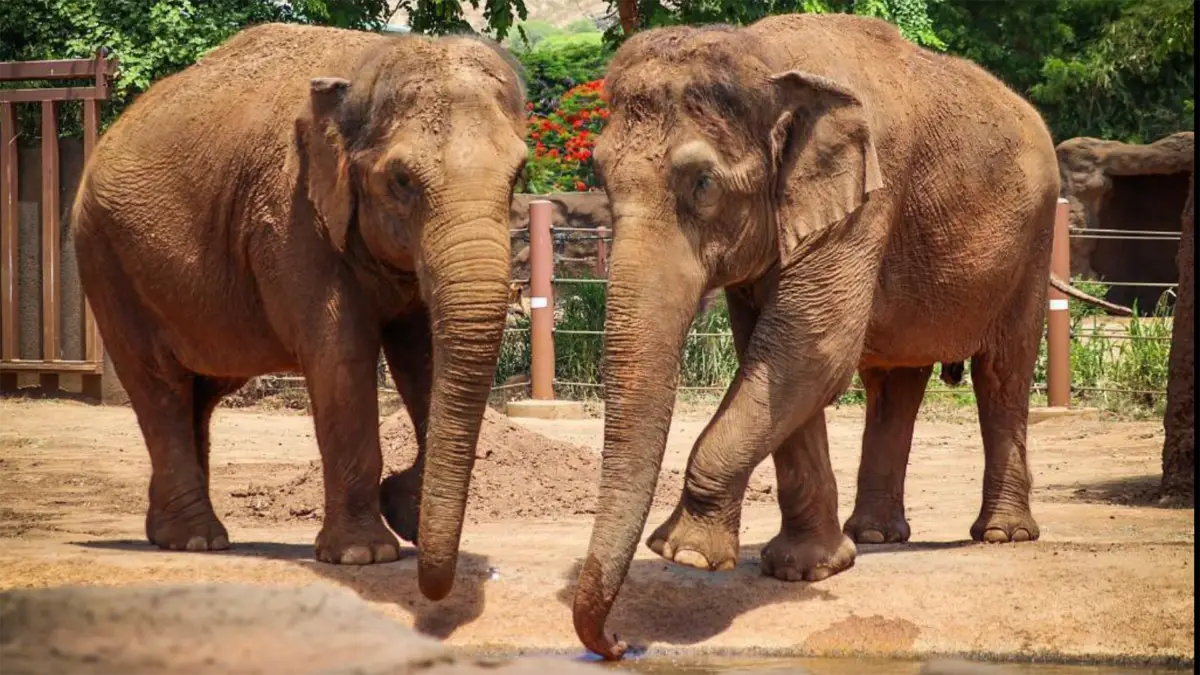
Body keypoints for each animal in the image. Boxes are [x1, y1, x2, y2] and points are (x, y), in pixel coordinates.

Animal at [72, 22, 528, 598]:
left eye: (519, 176)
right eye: (402, 180)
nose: (432, 587)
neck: (366, 67)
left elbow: (422, 356)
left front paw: (406, 512)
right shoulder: (292, 218)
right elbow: (340, 356)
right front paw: (364, 555)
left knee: (201, 389)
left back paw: (169, 533)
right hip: (105, 259)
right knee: (158, 384)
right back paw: (197, 541)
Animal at [571, 14, 1123, 658]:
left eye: (703, 183)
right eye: (601, 176)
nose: (617, 643)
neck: (763, 54)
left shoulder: (865, 200)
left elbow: (810, 350)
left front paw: (686, 554)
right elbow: (780, 356)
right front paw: (806, 569)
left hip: (1032, 241)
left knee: (1001, 375)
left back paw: (1001, 536)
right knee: (895, 384)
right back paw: (879, 535)